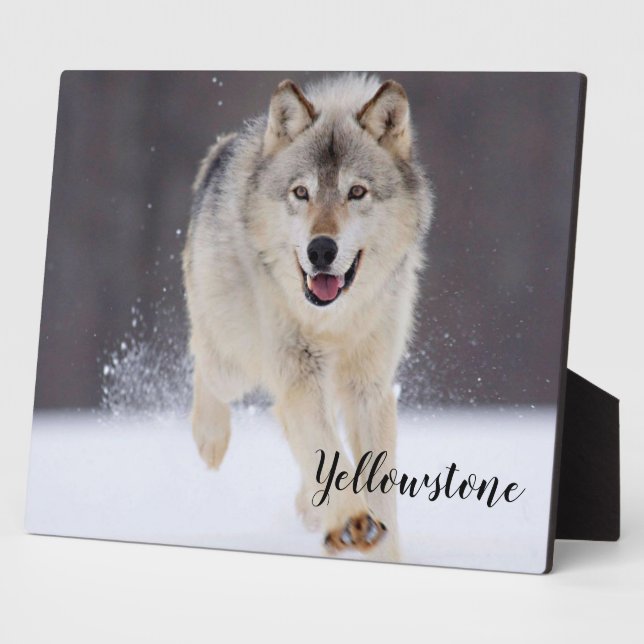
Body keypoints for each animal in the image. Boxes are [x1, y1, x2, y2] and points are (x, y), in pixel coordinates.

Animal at [183, 73, 433, 561]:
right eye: (301, 192)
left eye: (357, 192)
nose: (321, 250)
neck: (333, 320)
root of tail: (222, 150)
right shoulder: (299, 373)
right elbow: (326, 449)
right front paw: (352, 521)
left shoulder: (368, 388)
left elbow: (373, 481)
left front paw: (381, 548)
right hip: (236, 361)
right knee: (204, 362)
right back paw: (210, 440)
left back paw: (311, 508)